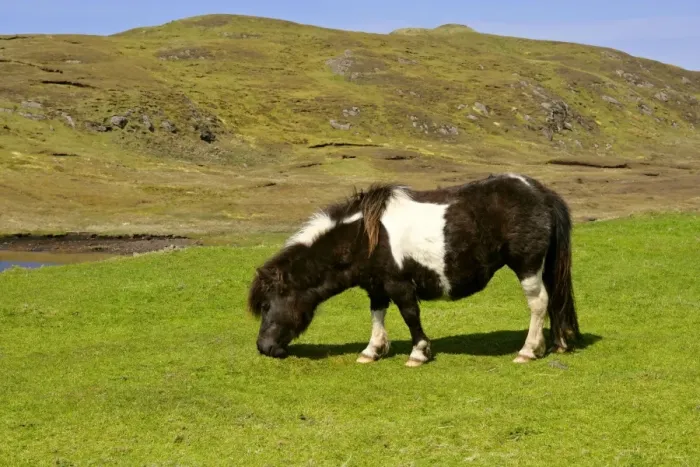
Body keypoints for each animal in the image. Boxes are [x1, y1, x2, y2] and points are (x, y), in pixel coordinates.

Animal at [247, 172, 581, 367]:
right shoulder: (376, 286)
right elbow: (377, 316)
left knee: (539, 303)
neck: (363, 236)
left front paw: (418, 353)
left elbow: (410, 316)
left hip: (527, 266)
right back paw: (558, 344)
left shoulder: (400, 284)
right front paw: (372, 351)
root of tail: (541, 194)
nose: (264, 347)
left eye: (266, 306)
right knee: (555, 302)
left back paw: (528, 350)